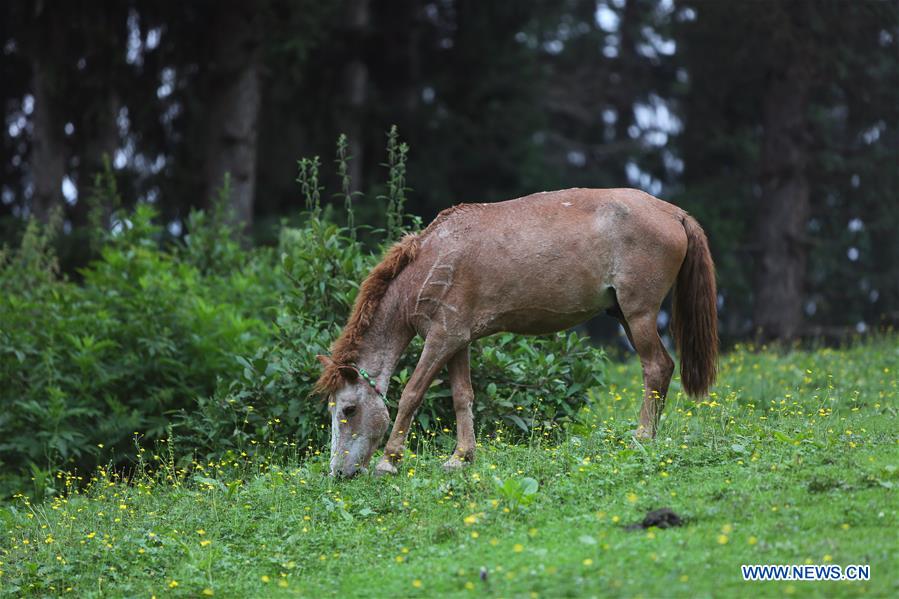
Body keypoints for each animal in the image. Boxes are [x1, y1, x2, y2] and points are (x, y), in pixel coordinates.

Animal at [316, 188, 716, 478]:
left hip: (639, 313)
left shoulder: (441, 339)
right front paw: (461, 457)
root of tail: (673, 213)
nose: (338, 473)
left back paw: (642, 437)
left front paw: (389, 461)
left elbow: (412, 394)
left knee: (656, 367)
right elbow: (463, 396)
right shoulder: (457, 341)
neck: (431, 263)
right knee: (662, 368)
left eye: (348, 409)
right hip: (623, 316)